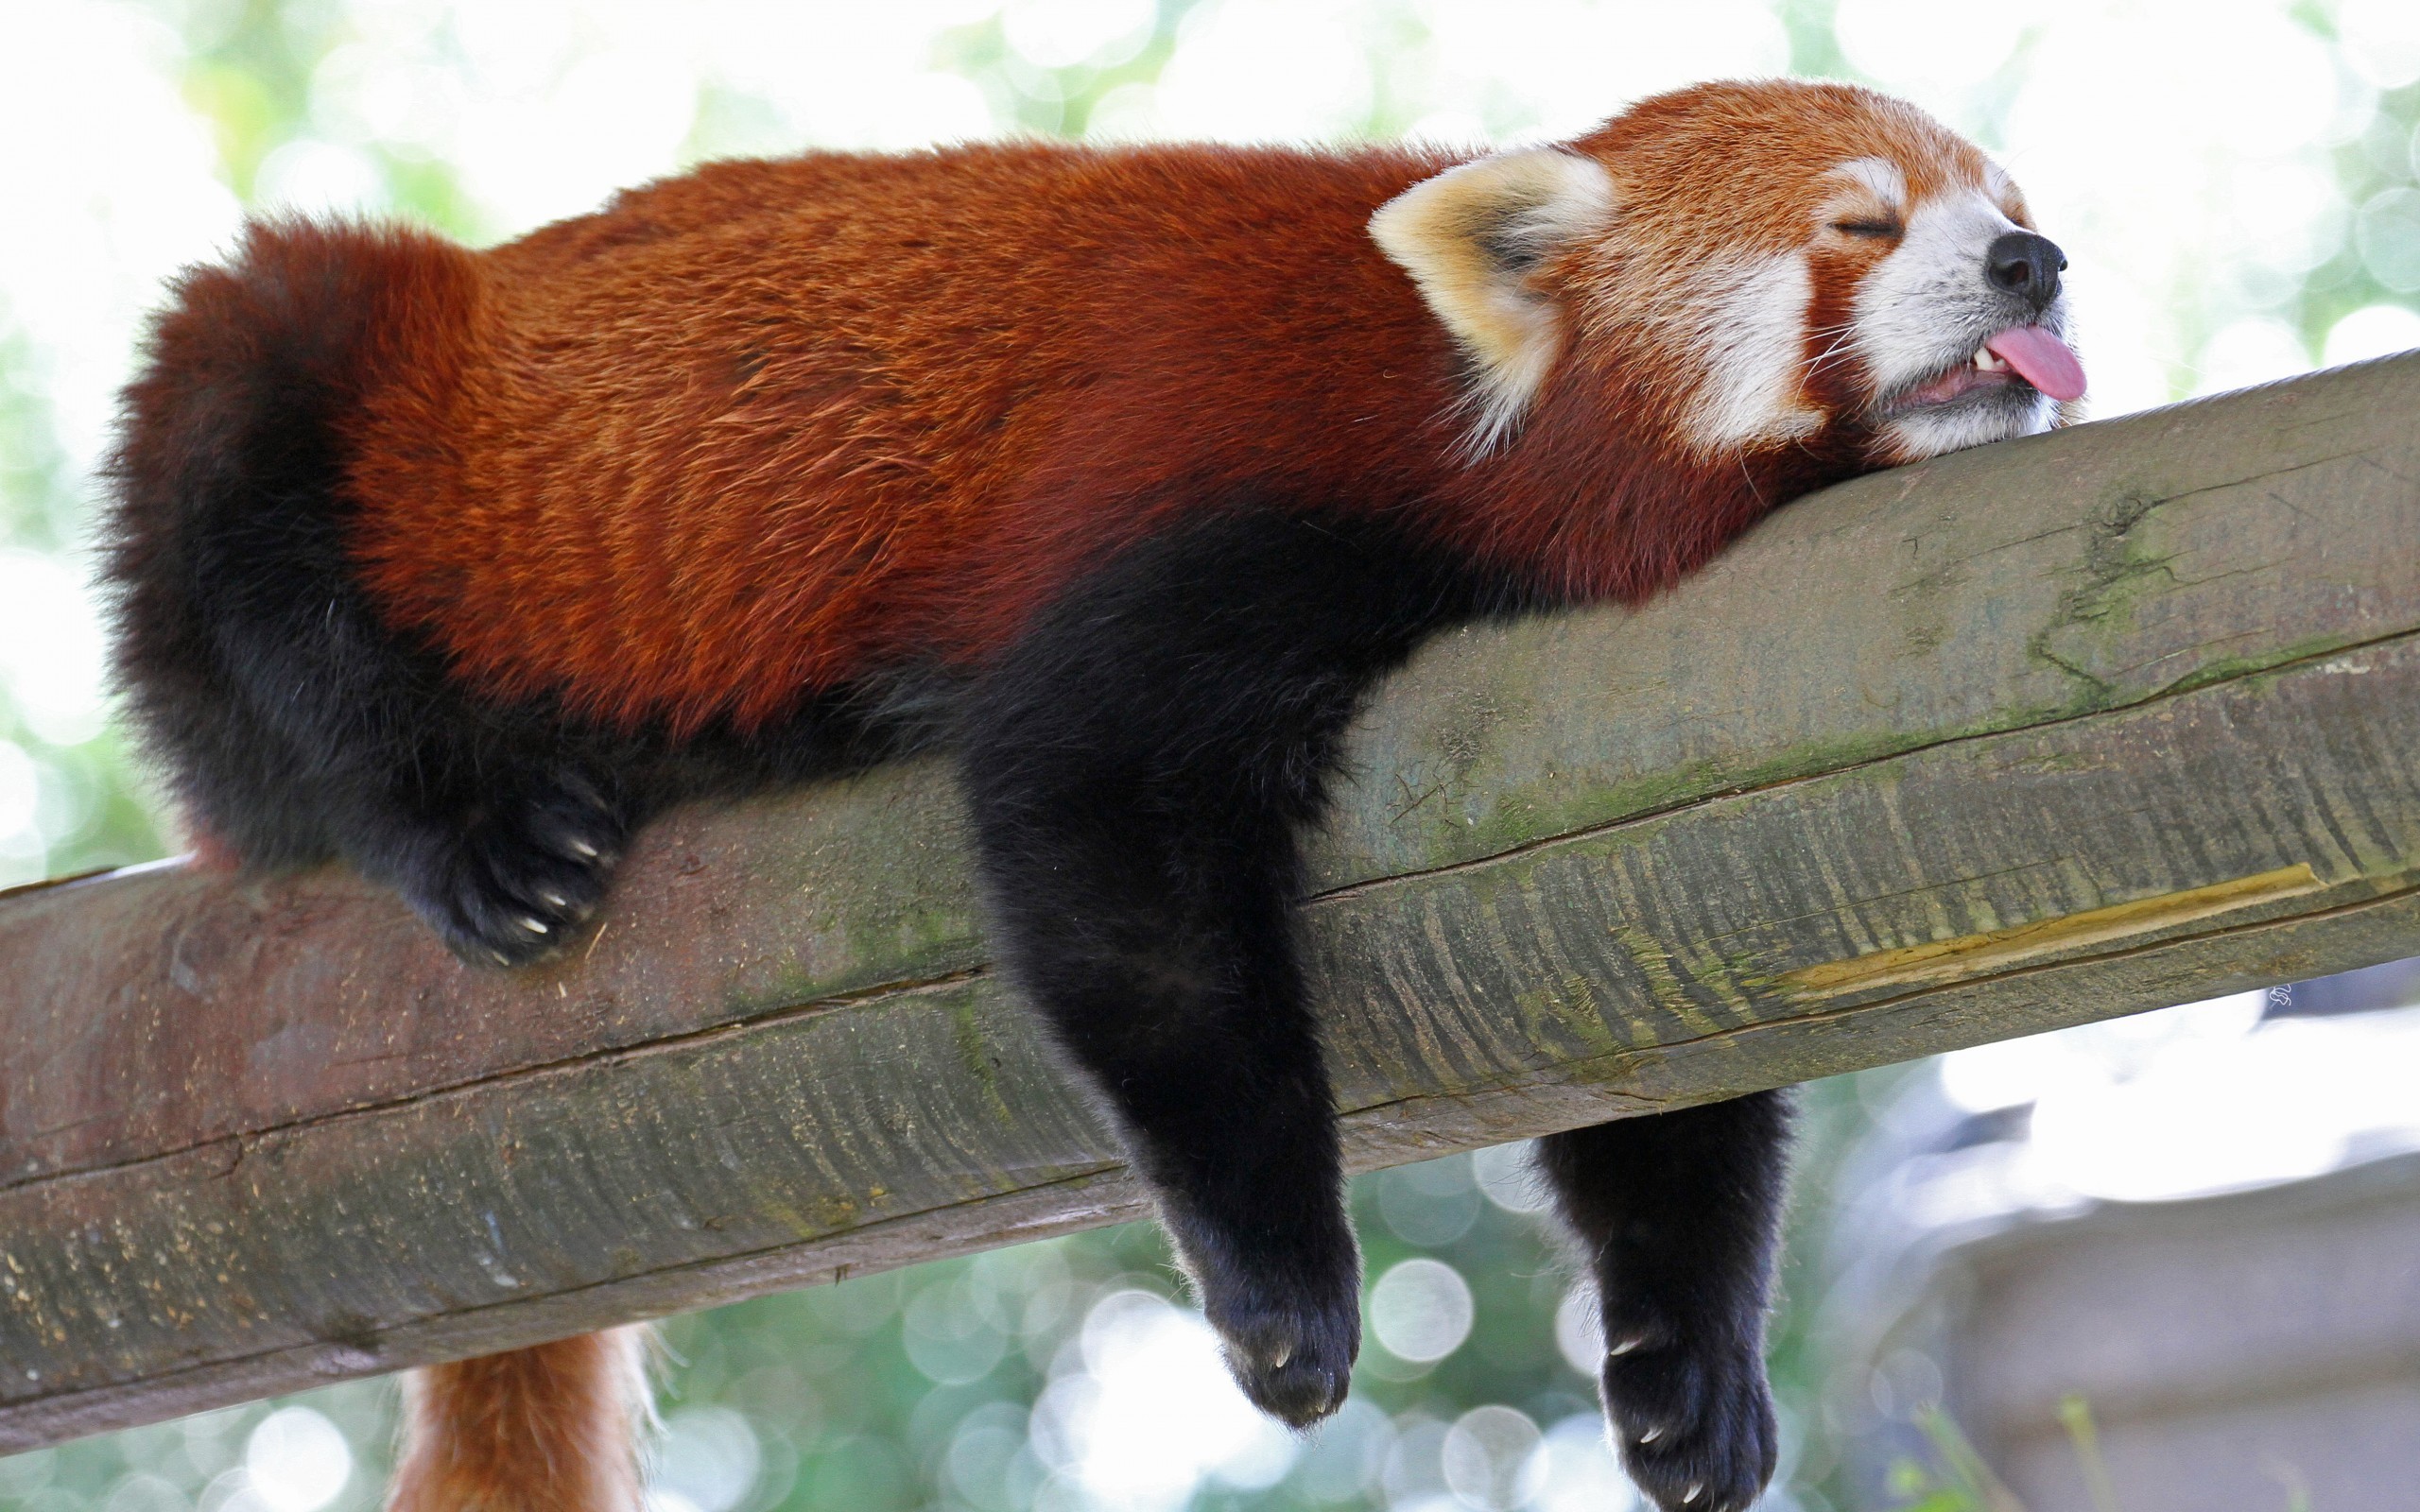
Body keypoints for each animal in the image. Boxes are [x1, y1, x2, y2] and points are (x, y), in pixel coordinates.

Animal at [109, 79, 2081, 1509]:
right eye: (1863, 222)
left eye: (2001, 195)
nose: (2037, 262)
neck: (1445, 395)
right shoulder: (1198, 480)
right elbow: (1112, 857)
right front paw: (1283, 1281)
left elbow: (1649, 1033)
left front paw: (1688, 1358)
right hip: (360, 415)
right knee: (250, 467)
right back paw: (463, 815)